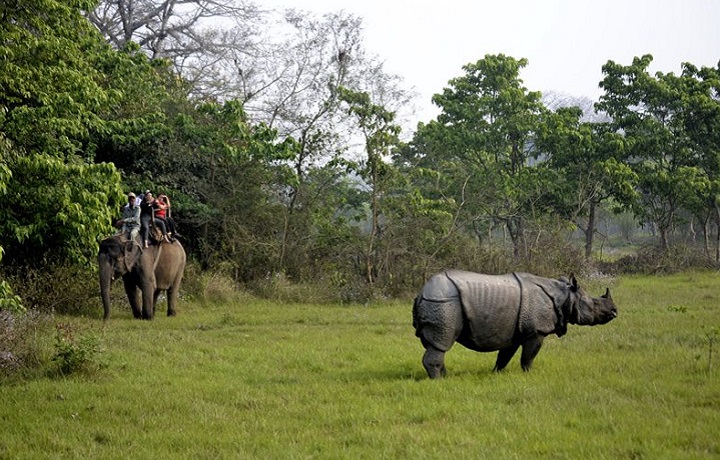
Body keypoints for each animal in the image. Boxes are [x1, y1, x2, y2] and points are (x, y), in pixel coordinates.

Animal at [414, 270, 616, 378]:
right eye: (595, 304)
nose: (615, 312)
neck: (565, 296)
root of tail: (421, 293)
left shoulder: (513, 332)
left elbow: (504, 356)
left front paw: (496, 374)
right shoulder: (537, 331)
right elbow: (528, 357)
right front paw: (528, 375)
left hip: (439, 303)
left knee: (435, 344)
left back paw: (445, 376)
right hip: (443, 303)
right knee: (441, 342)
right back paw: (439, 380)